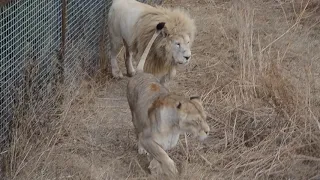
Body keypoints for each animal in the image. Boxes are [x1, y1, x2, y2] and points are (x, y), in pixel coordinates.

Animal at [127, 22, 210, 177]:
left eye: (205, 118)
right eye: (196, 121)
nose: (208, 131)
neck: (175, 128)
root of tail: (141, 72)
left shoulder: (166, 144)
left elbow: (159, 155)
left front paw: (154, 167)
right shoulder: (147, 139)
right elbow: (163, 156)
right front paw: (172, 171)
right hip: (134, 115)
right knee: (136, 130)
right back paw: (141, 149)